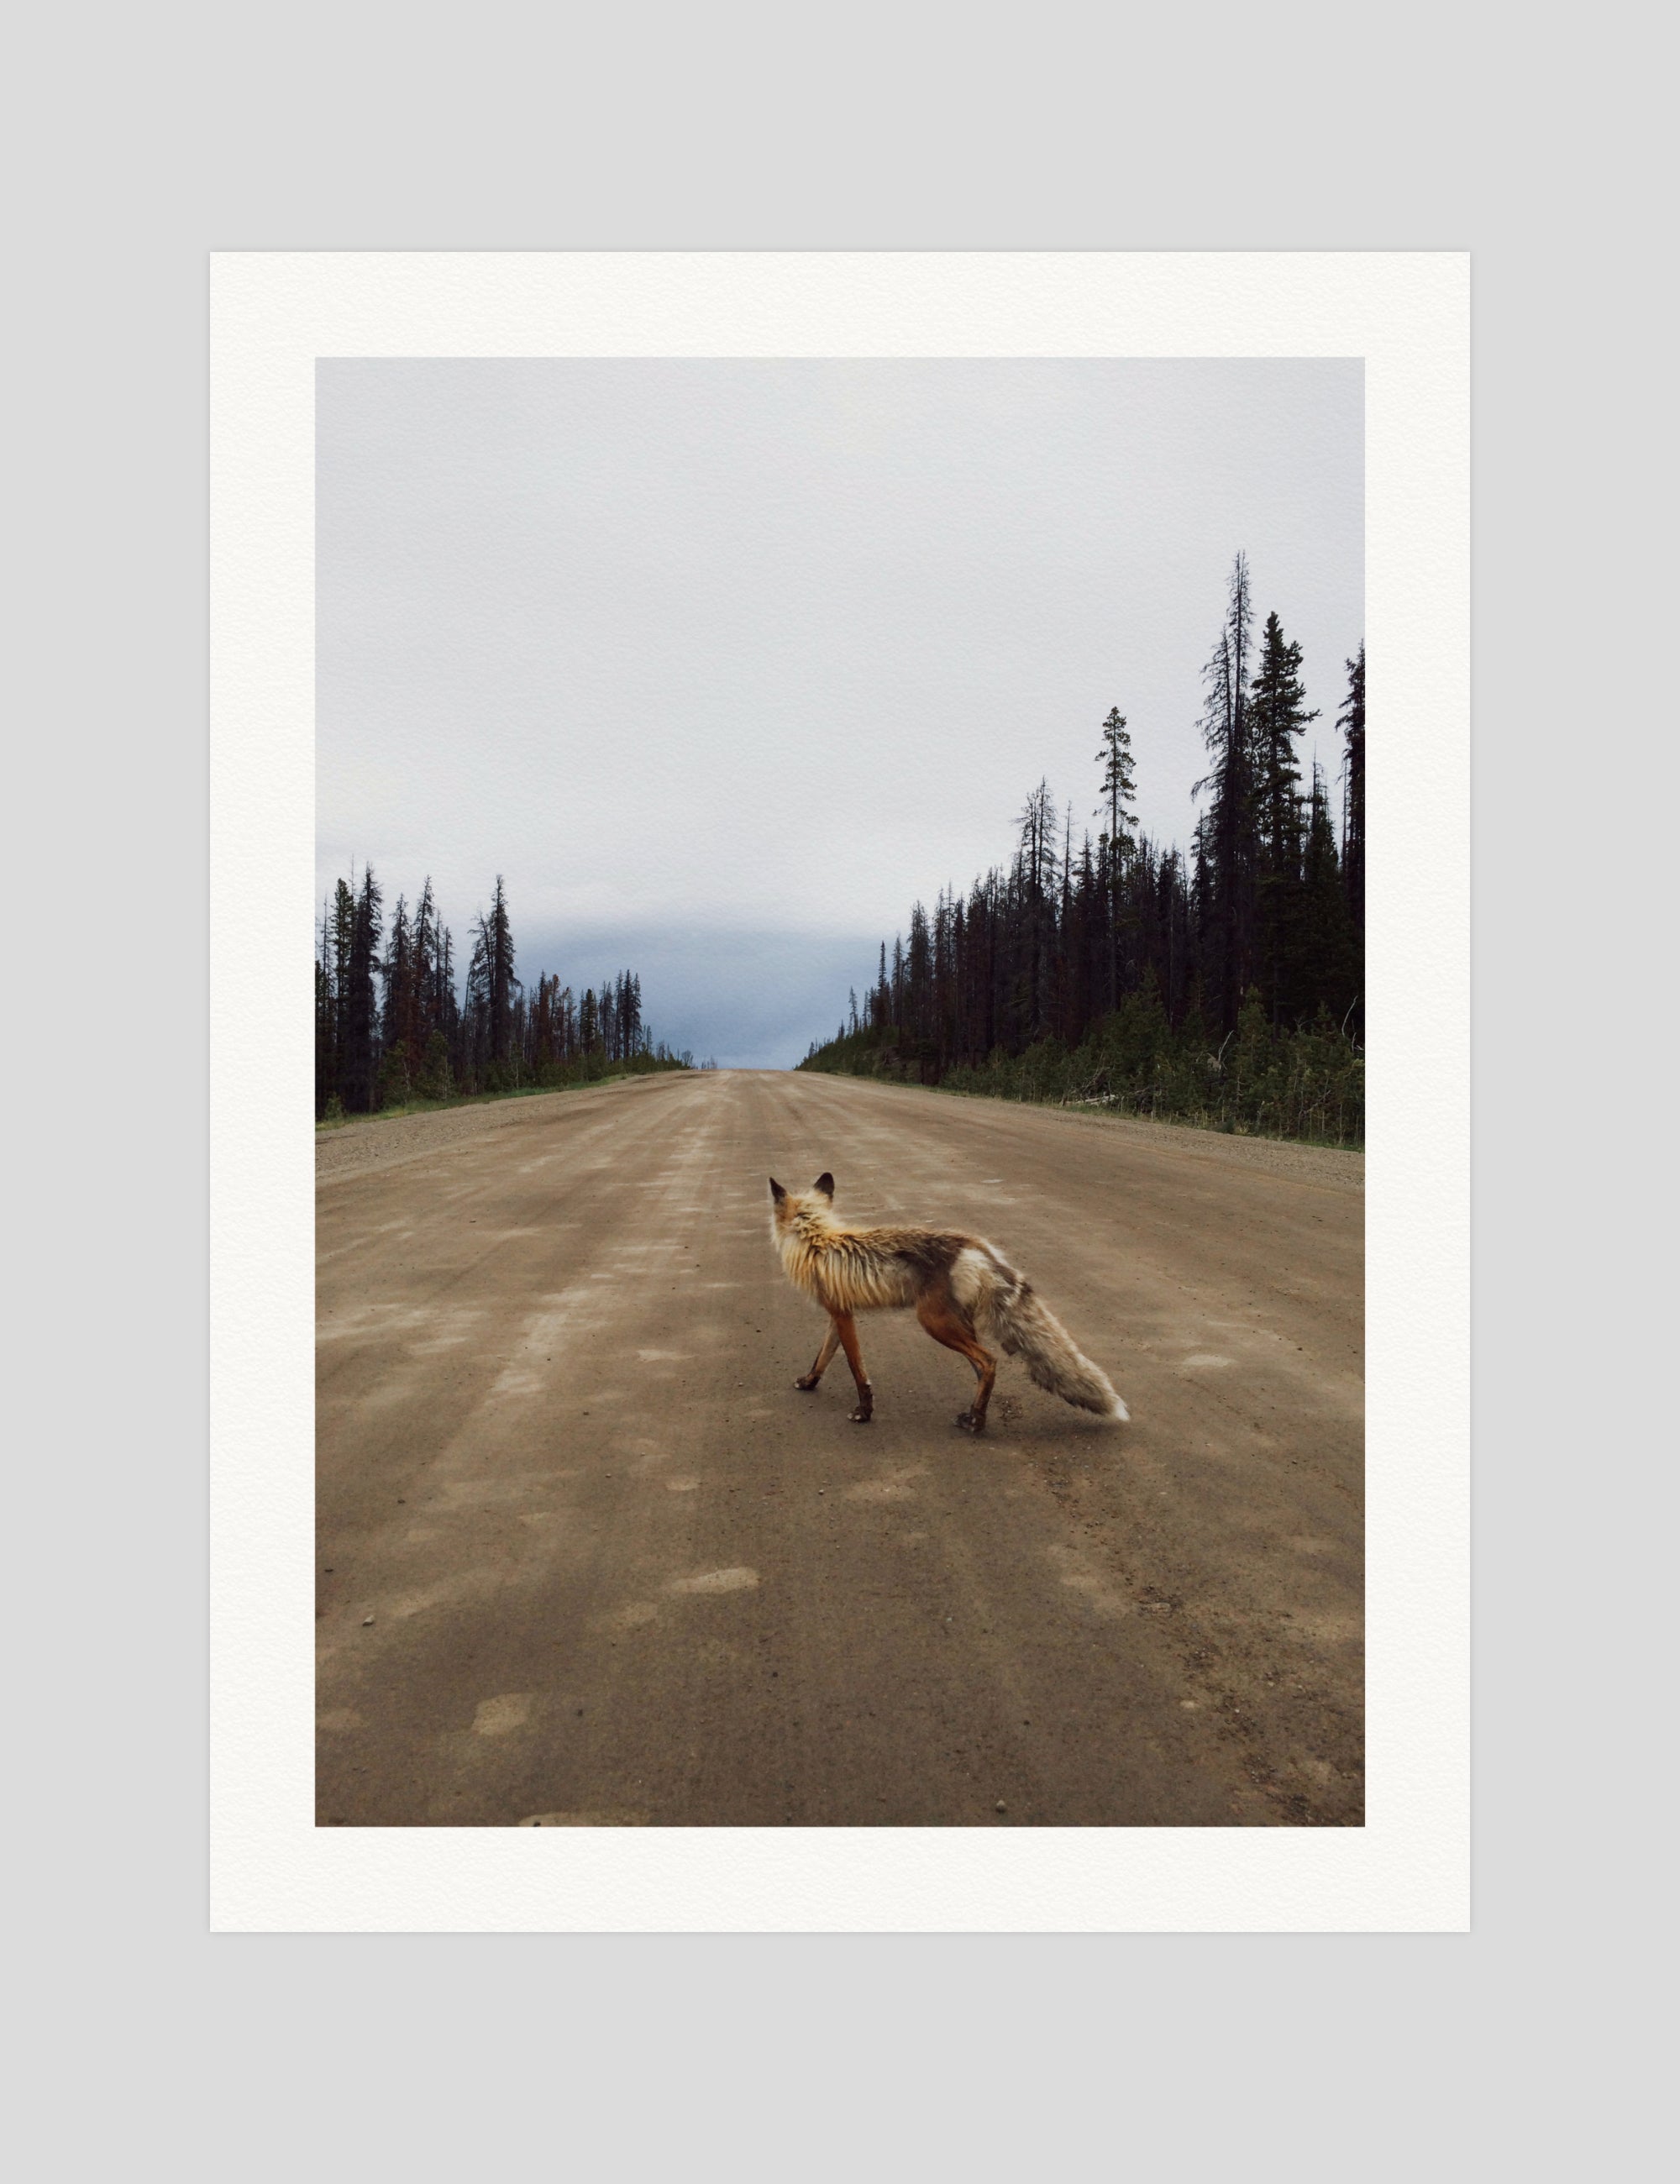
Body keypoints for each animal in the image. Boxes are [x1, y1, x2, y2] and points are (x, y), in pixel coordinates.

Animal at [768, 1172, 1127, 1434]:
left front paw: (864, 1412)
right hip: (958, 1325)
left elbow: (857, 1370)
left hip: (934, 1323)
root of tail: (976, 1246)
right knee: (982, 1368)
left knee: (988, 1361)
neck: (817, 1239)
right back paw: (975, 1414)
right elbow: (822, 1358)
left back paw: (976, 1422)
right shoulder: (839, 1312)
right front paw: (809, 1383)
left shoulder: (844, 1317)